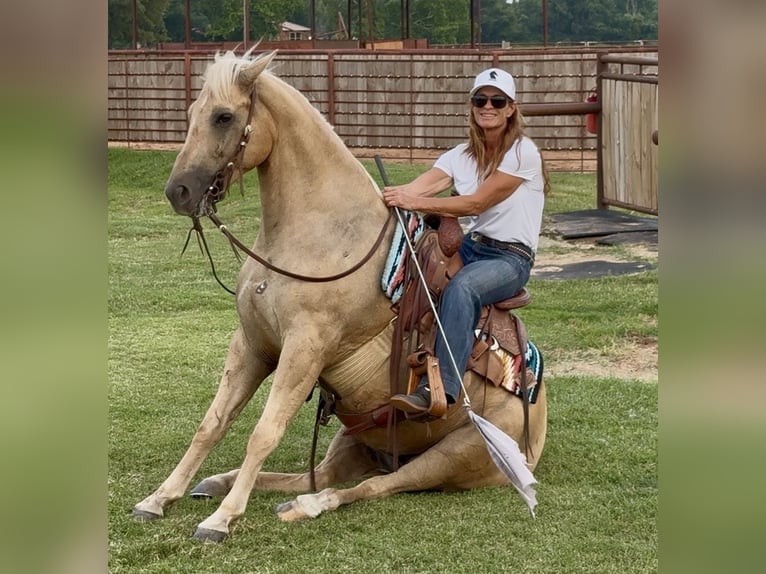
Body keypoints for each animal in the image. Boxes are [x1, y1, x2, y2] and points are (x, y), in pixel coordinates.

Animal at [132, 49, 547, 543]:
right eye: (194, 112)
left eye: (224, 116)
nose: (179, 191)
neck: (321, 234)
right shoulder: (252, 345)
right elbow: (211, 424)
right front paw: (159, 498)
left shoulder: (306, 348)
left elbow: (265, 431)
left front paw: (221, 520)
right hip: (354, 439)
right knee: (320, 475)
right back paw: (220, 482)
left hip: (453, 454)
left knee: (373, 486)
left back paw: (305, 506)